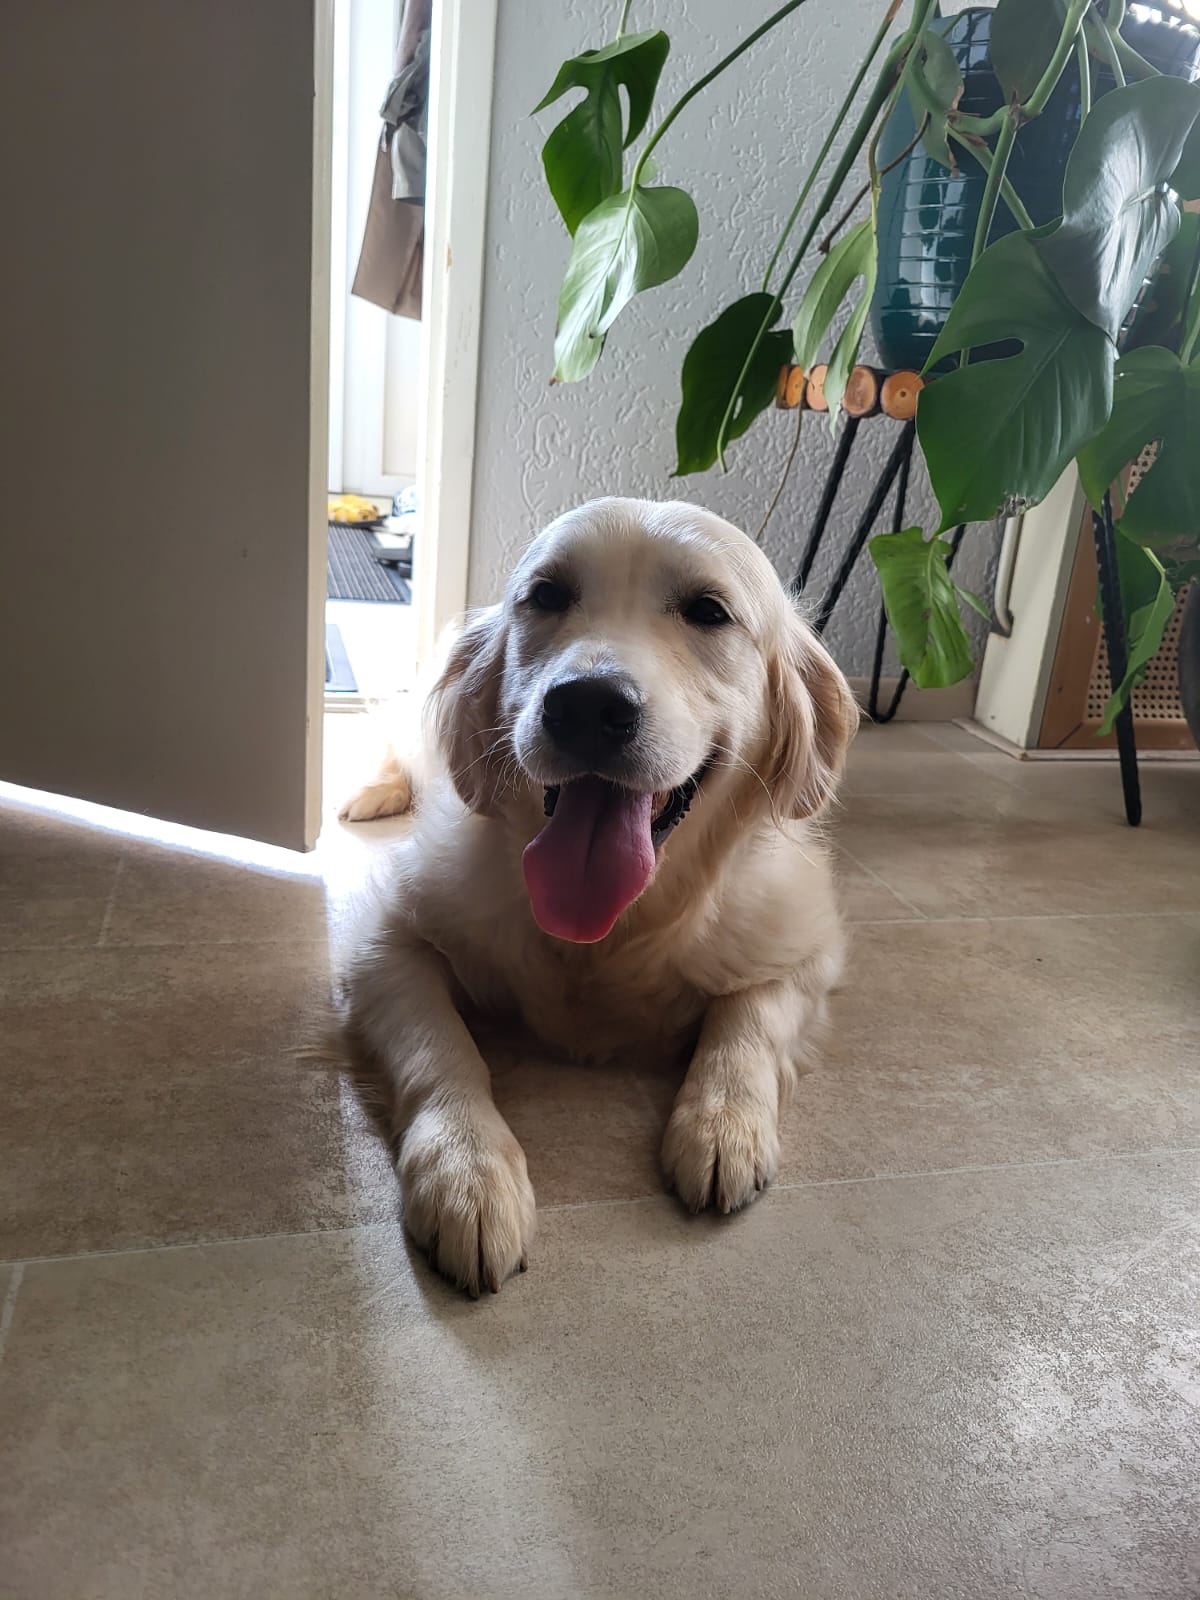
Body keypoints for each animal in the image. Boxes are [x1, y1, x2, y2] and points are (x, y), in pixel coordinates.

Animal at [343, 498, 857, 1295]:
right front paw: (467, 1173)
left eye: (708, 611)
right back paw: (372, 793)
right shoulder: (383, 941)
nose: (586, 706)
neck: (609, 933)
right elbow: (441, 1049)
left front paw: (722, 1125)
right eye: (547, 596)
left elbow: (748, 1021)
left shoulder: (806, 946)